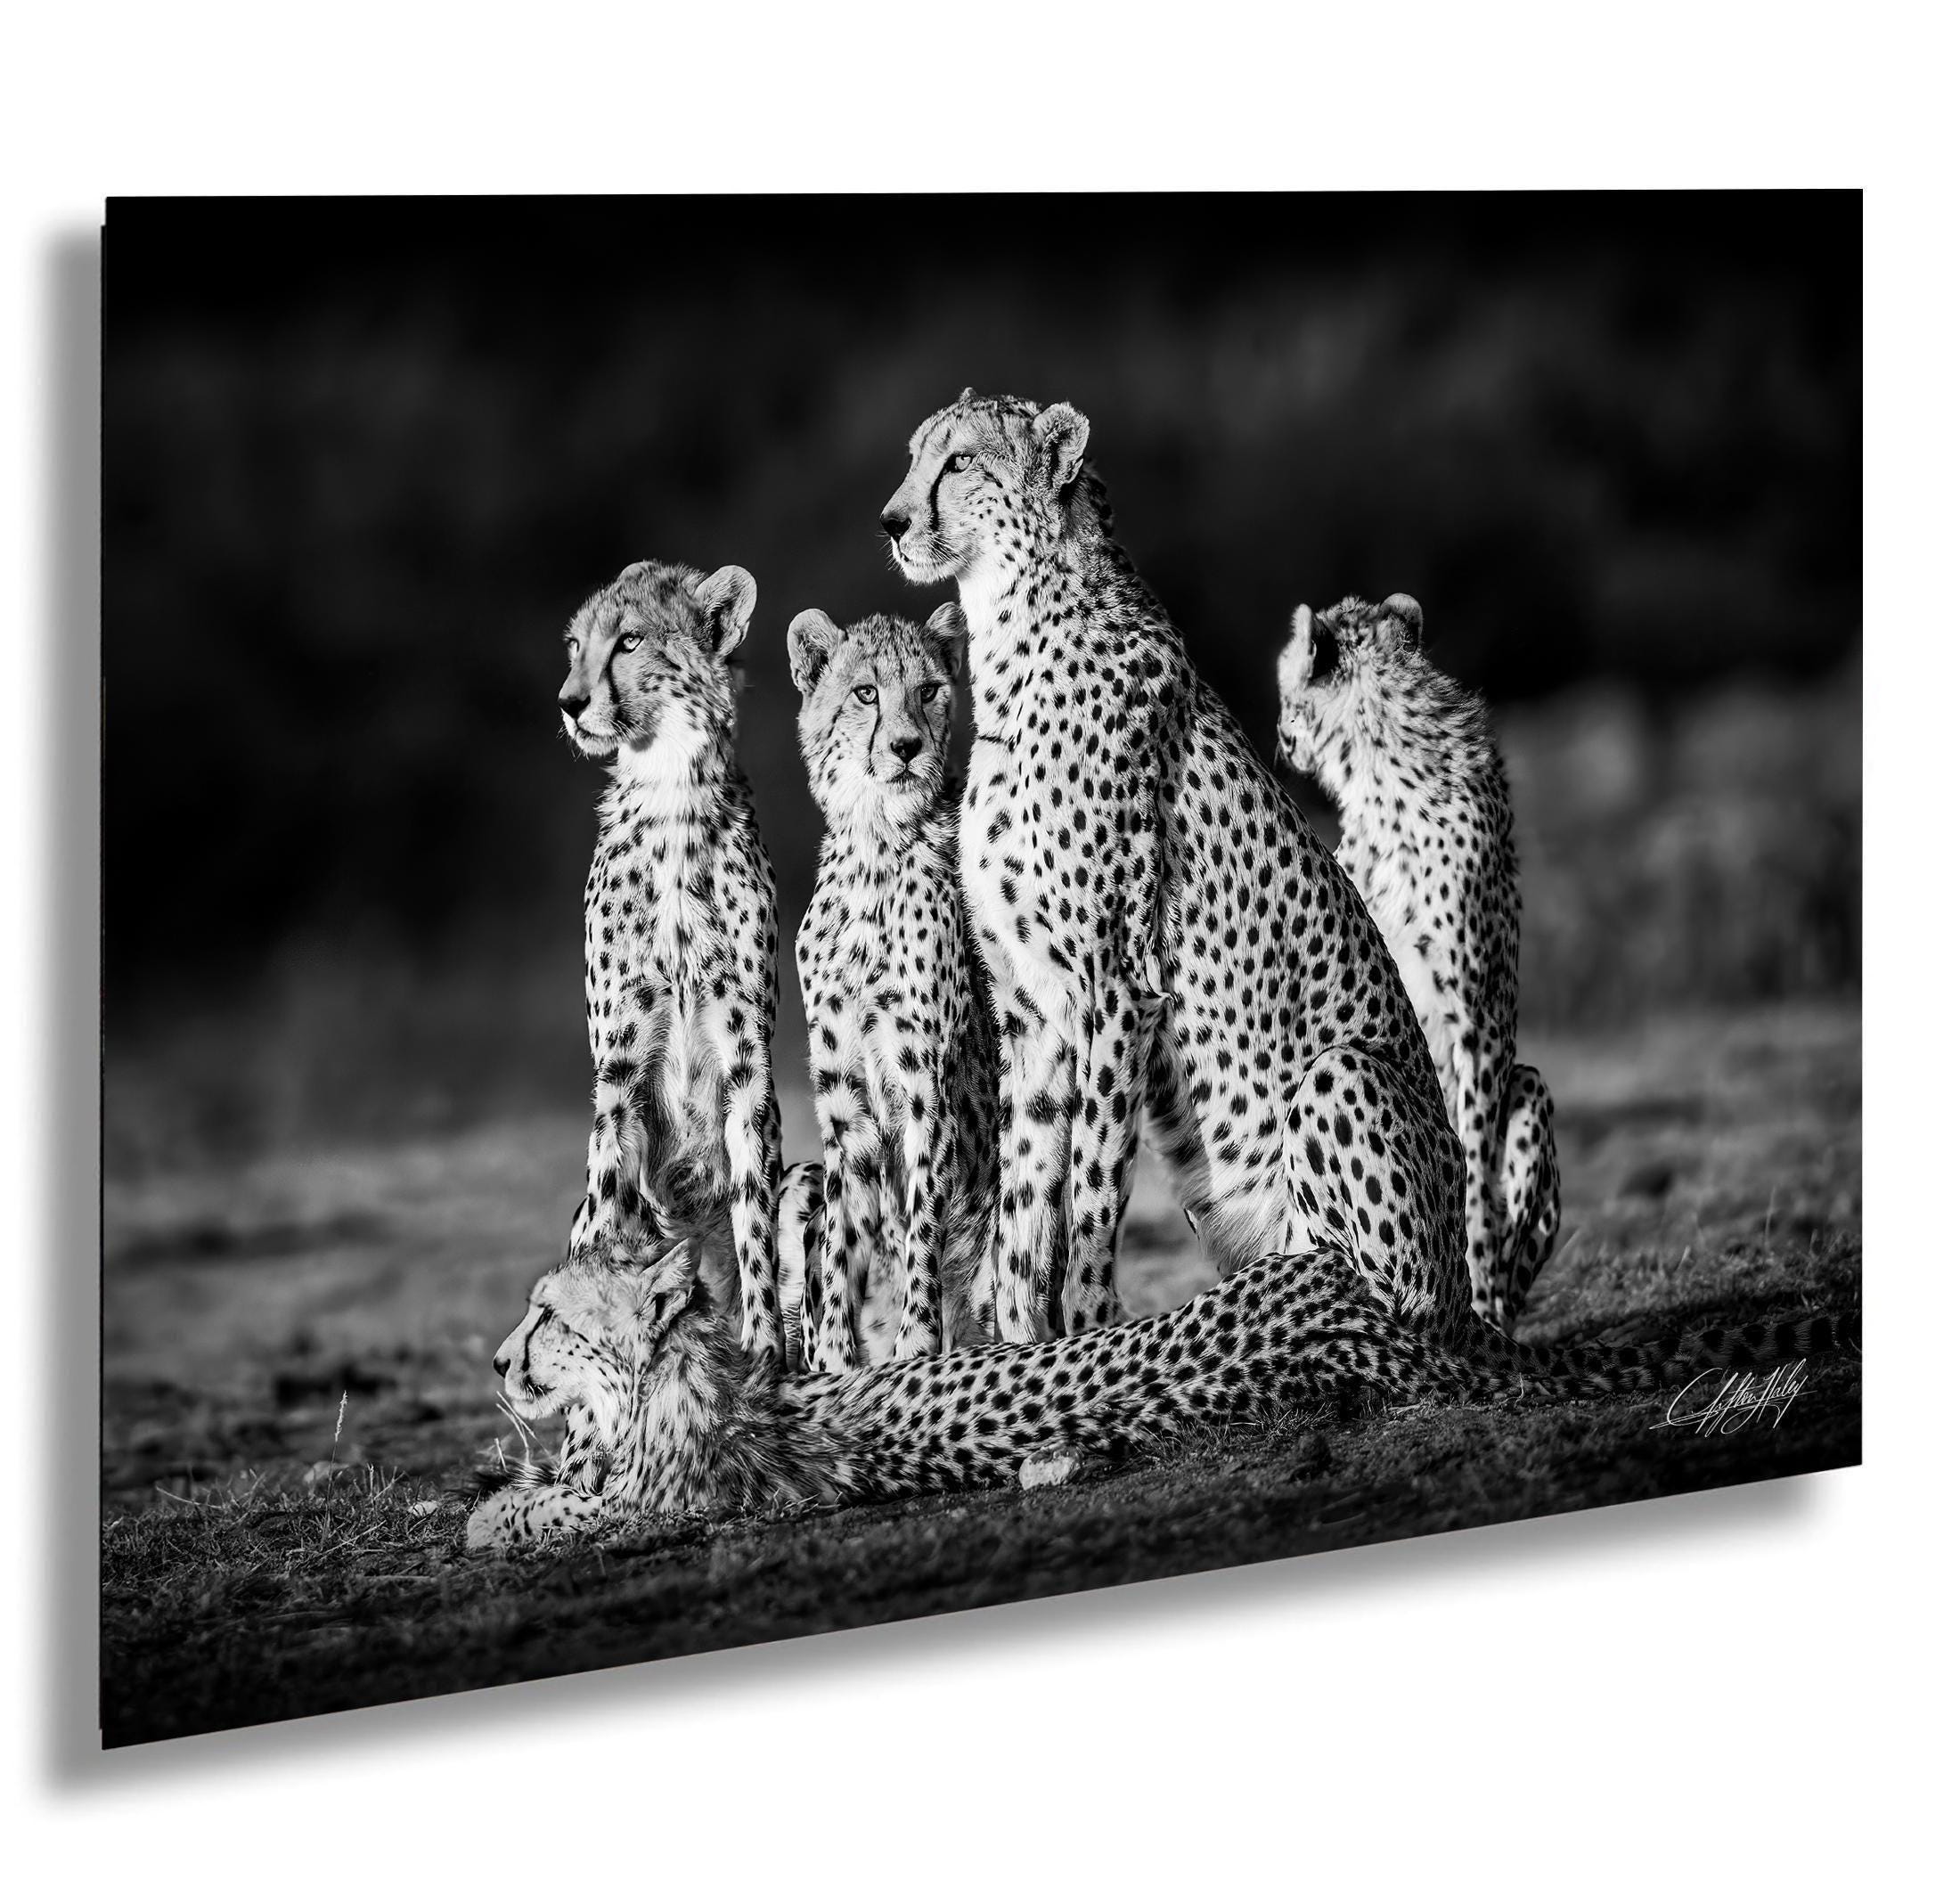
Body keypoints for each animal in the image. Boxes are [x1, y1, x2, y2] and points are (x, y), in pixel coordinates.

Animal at [556, 558, 784, 1369]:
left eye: (629, 641)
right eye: (574, 645)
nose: (569, 702)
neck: (672, 793)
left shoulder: (749, 1060)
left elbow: (755, 1227)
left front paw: (767, 1348)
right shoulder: (619, 1068)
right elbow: (605, 1223)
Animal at [784, 600, 998, 1370]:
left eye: (929, 688)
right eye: (865, 693)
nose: (906, 748)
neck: (875, 844)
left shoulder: (924, 1087)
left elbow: (921, 1229)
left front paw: (914, 1345)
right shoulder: (844, 1100)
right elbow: (841, 1241)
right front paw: (837, 1355)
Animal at [879, 390, 1481, 1366]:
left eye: (960, 461)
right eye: (914, 458)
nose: (891, 521)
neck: (1018, 633)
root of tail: (1469, 1300)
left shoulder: (1117, 982)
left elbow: (1091, 1192)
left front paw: (1089, 1328)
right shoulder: (1032, 1002)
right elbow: (1026, 1196)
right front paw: (1021, 1342)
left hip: (1342, 1078)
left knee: (1393, 1306)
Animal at [1278, 592, 1559, 1333]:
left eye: (1288, 696)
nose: (1280, 736)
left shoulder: (1476, 1016)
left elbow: (1476, 1170)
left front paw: (1477, 1279)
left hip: (1529, 1086)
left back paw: (1492, 1302)